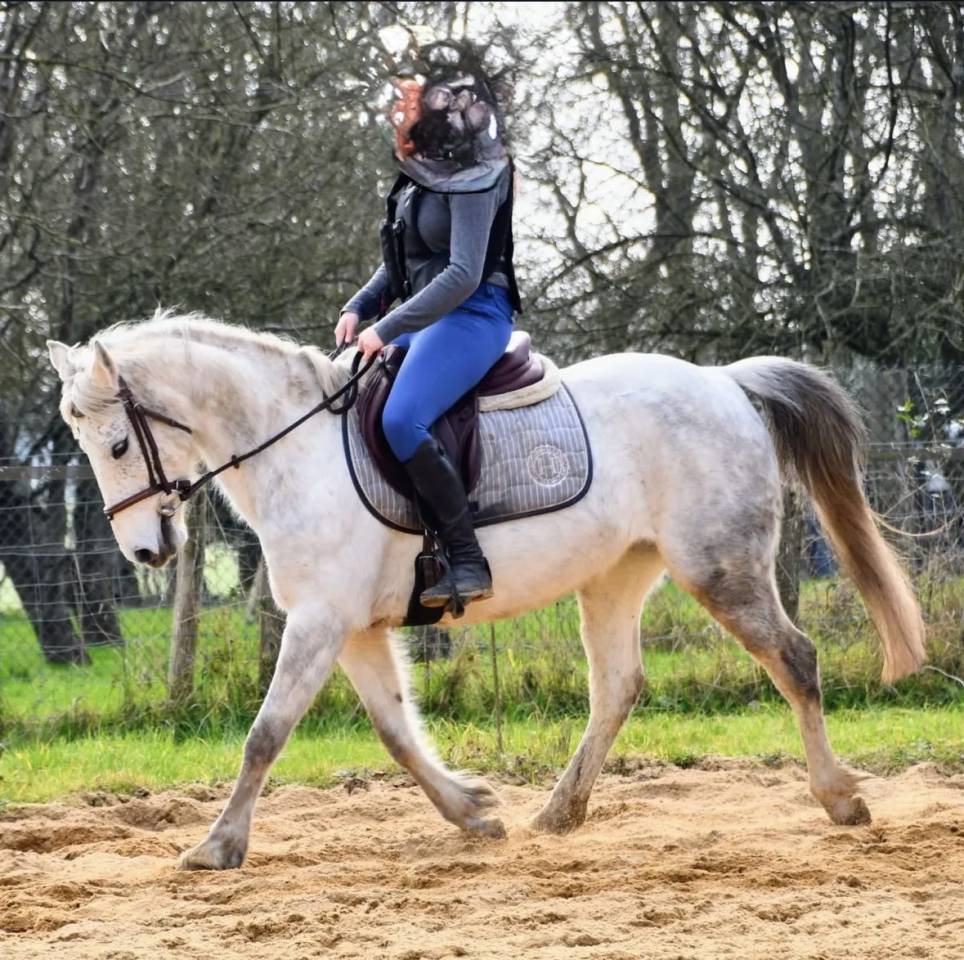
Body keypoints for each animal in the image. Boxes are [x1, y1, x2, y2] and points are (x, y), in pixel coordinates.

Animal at [47, 312, 925, 871]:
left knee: (795, 660)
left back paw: (839, 799)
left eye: (119, 444)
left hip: (721, 569)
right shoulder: (352, 628)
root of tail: (725, 384)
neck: (294, 448)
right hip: (615, 578)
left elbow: (266, 734)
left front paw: (217, 846)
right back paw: (560, 812)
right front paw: (471, 810)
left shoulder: (321, 621)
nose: (146, 549)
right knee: (618, 687)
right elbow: (396, 732)